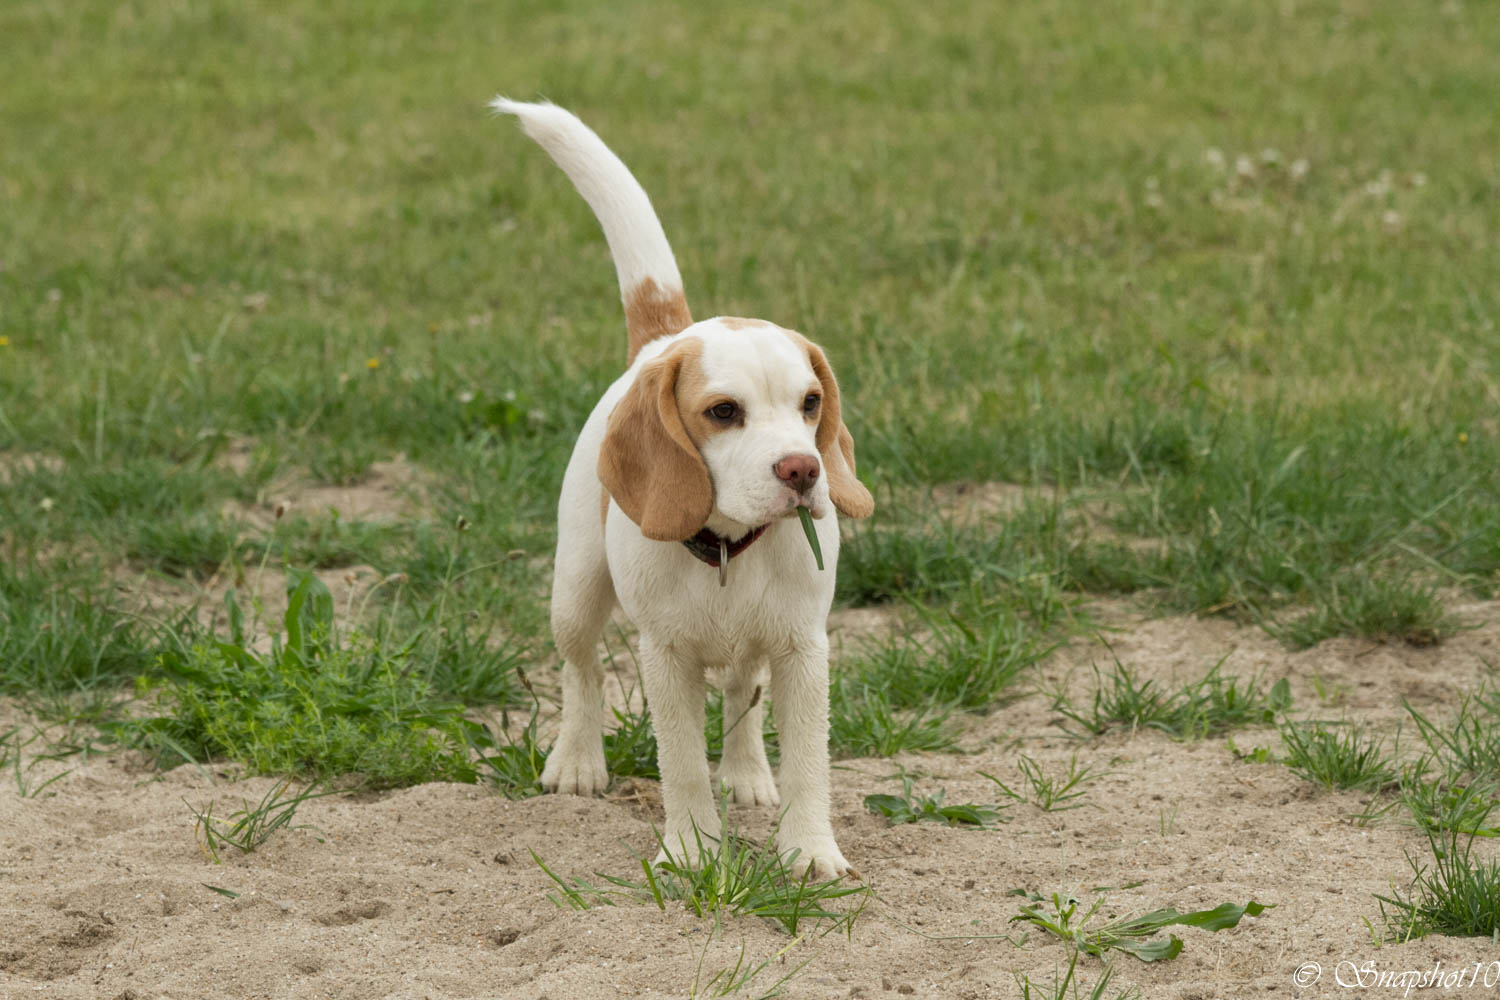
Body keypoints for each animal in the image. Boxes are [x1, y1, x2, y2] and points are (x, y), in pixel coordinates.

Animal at [492, 95, 876, 875]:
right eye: (723, 412)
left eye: (810, 403)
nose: (804, 470)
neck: (727, 548)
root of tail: (662, 341)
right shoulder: (664, 657)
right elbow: (681, 765)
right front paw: (694, 851)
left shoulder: (803, 651)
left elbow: (807, 764)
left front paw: (809, 852)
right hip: (575, 589)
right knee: (580, 672)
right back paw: (577, 763)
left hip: (751, 646)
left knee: (740, 691)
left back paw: (748, 774)